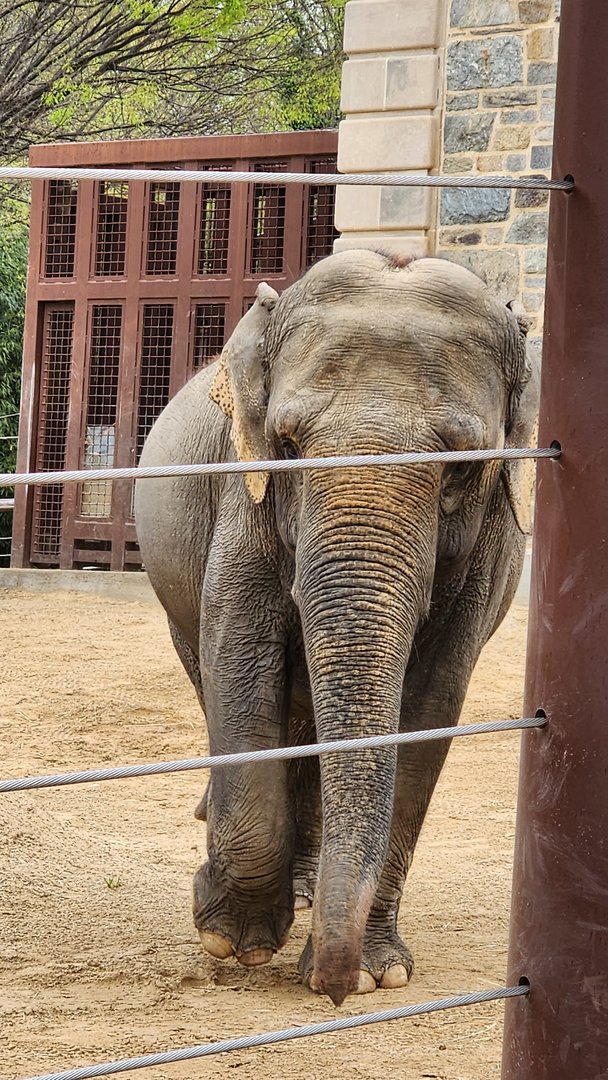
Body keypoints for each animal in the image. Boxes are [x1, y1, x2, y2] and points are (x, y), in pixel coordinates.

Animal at [134, 250, 538, 1007]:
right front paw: (233, 940)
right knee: (213, 675)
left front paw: (381, 973)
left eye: (461, 465)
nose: (335, 990)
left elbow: (433, 699)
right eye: (288, 445)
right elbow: (239, 654)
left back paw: (306, 891)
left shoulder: (491, 541)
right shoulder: (244, 492)